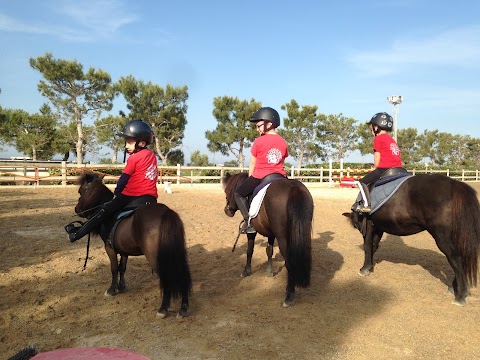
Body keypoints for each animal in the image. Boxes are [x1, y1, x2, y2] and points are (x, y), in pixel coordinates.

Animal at [71, 172, 191, 318]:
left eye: (81, 191)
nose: (77, 209)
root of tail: (166, 213)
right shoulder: (124, 251)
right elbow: (122, 268)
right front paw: (121, 287)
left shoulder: (109, 248)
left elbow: (114, 268)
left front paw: (112, 290)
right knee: (182, 274)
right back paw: (183, 308)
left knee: (166, 277)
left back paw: (163, 308)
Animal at [220, 172, 314, 306]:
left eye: (227, 191)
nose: (227, 211)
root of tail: (293, 188)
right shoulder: (271, 233)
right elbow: (269, 251)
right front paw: (269, 271)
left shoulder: (252, 232)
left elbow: (249, 250)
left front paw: (246, 271)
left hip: (283, 238)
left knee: (289, 263)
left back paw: (289, 296)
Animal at [344, 173, 480, 306]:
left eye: (356, 225)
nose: (359, 228)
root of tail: (455, 184)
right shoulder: (378, 227)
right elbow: (374, 246)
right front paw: (370, 267)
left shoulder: (370, 225)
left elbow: (368, 246)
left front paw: (364, 269)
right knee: (461, 258)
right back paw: (454, 288)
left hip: (442, 236)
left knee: (455, 258)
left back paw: (460, 296)